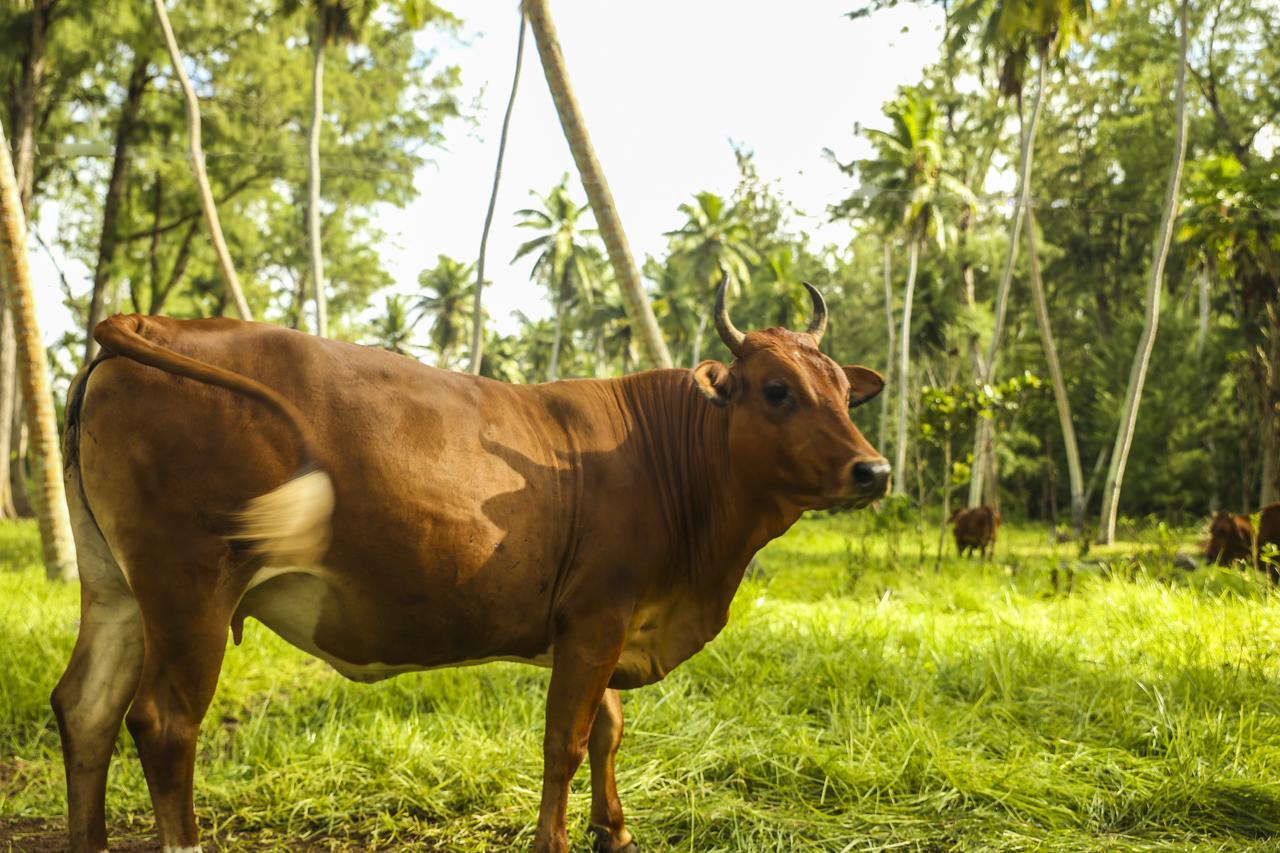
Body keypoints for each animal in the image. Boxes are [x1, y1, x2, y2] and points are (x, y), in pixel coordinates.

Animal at [52, 279, 890, 850]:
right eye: (777, 390)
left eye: (844, 392)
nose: (874, 470)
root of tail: (154, 318)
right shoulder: (596, 618)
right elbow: (565, 740)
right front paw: (556, 838)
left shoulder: (608, 625)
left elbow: (608, 729)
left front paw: (614, 828)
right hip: (189, 586)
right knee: (164, 722)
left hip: (117, 587)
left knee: (85, 706)